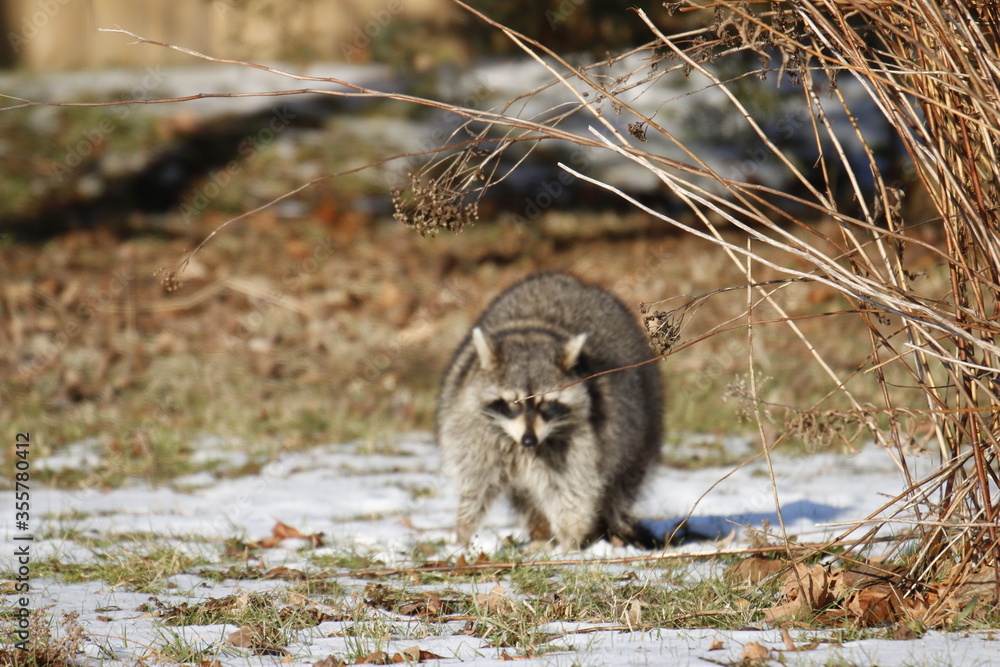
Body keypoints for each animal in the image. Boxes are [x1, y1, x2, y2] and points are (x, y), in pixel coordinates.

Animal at [437, 272, 663, 549]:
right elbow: (477, 482)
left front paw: (569, 541)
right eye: (512, 403)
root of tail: (566, 279)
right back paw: (541, 533)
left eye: (546, 404)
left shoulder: (584, 440)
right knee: (526, 497)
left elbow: (572, 489)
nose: (529, 440)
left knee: (622, 485)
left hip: (641, 423)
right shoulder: (470, 426)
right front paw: (464, 532)